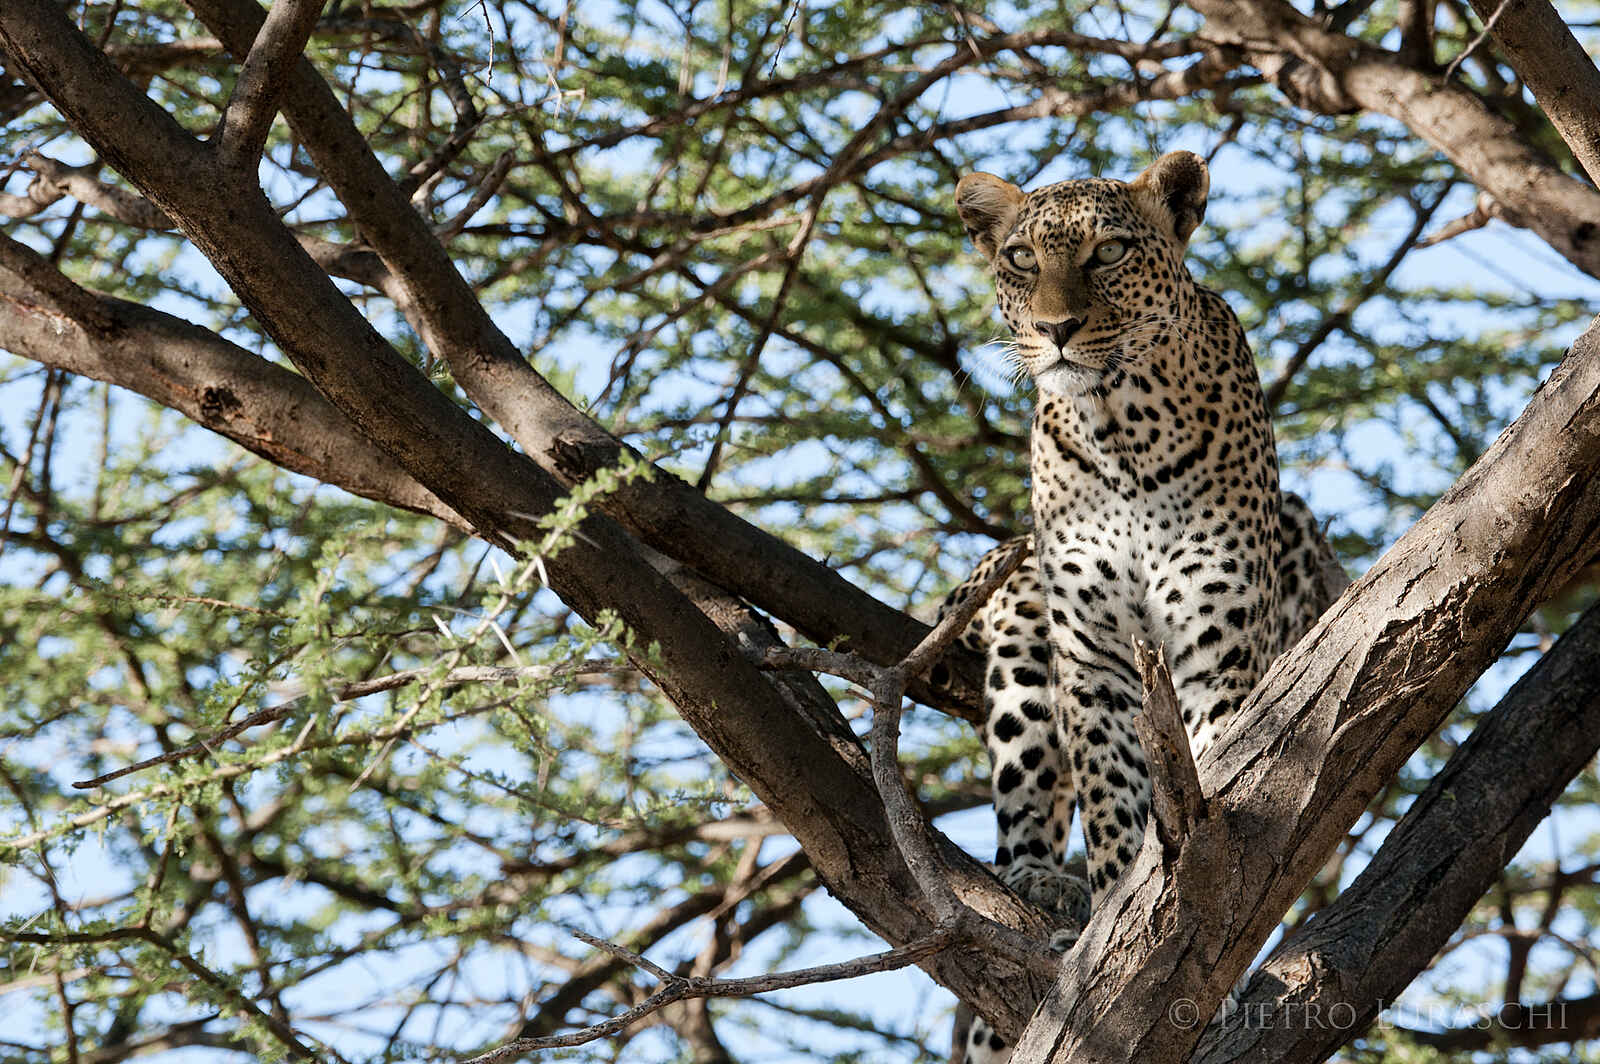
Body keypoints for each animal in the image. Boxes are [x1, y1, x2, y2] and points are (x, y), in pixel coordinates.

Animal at [938, 151, 1348, 1064]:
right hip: (1023, 624)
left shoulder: (1213, 643)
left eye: (1110, 253)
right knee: (1025, 794)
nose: (1055, 328)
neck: (1120, 426)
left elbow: (1215, 767)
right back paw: (1043, 885)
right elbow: (1110, 800)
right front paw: (1113, 922)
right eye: (1021, 259)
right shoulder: (1092, 651)